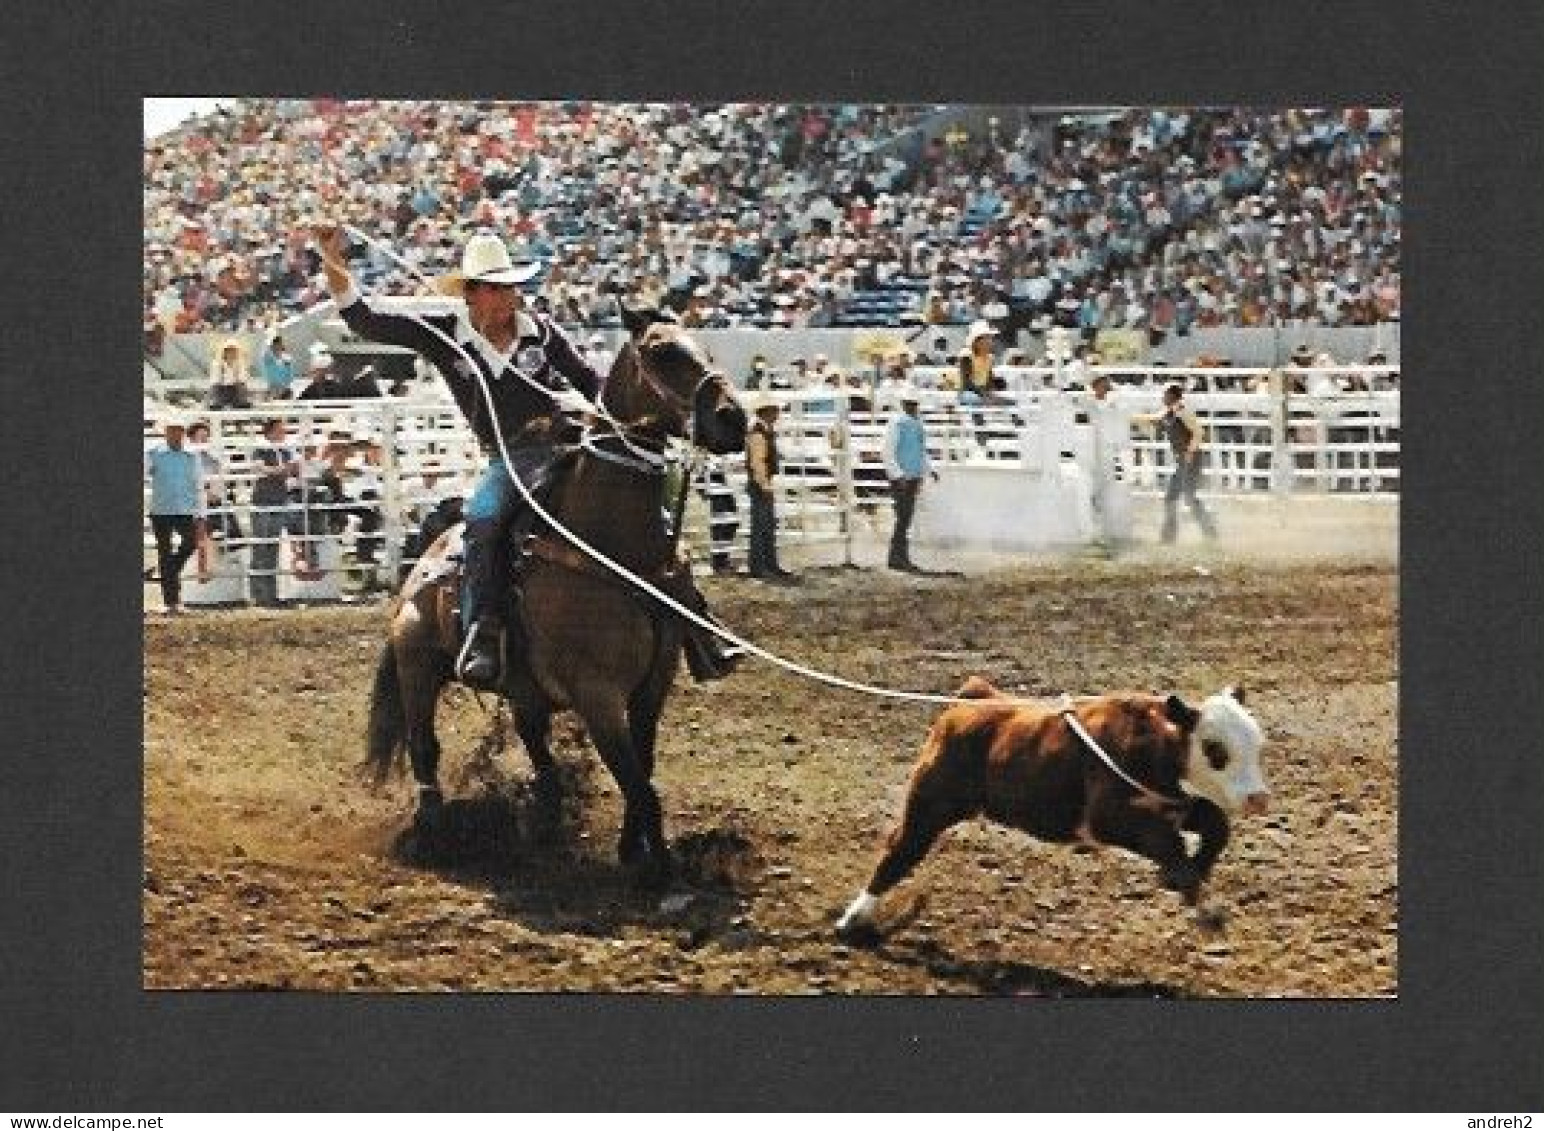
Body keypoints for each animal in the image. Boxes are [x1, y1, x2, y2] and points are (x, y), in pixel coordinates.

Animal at [362, 308, 747, 882]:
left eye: (704, 346)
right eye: (663, 352)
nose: (734, 419)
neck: (609, 544)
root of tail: (421, 563)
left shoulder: (652, 688)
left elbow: (642, 770)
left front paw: (632, 848)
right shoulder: (598, 695)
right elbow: (639, 785)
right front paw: (657, 869)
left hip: (523, 687)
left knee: (532, 739)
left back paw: (545, 813)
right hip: (418, 666)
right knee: (423, 747)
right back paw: (434, 834)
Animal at [839, 678, 1272, 938]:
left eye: (1257, 743)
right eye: (1215, 749)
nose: (1259, 798)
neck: (1153, 744)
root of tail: (971, 701)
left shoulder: (1175, 803)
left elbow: (1215, 824)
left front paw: (1186, 875)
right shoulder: (1107, 818)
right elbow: (1167, 843)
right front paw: (1204, 905)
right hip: (930, 805)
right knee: (898, 853)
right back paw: (853, 919)